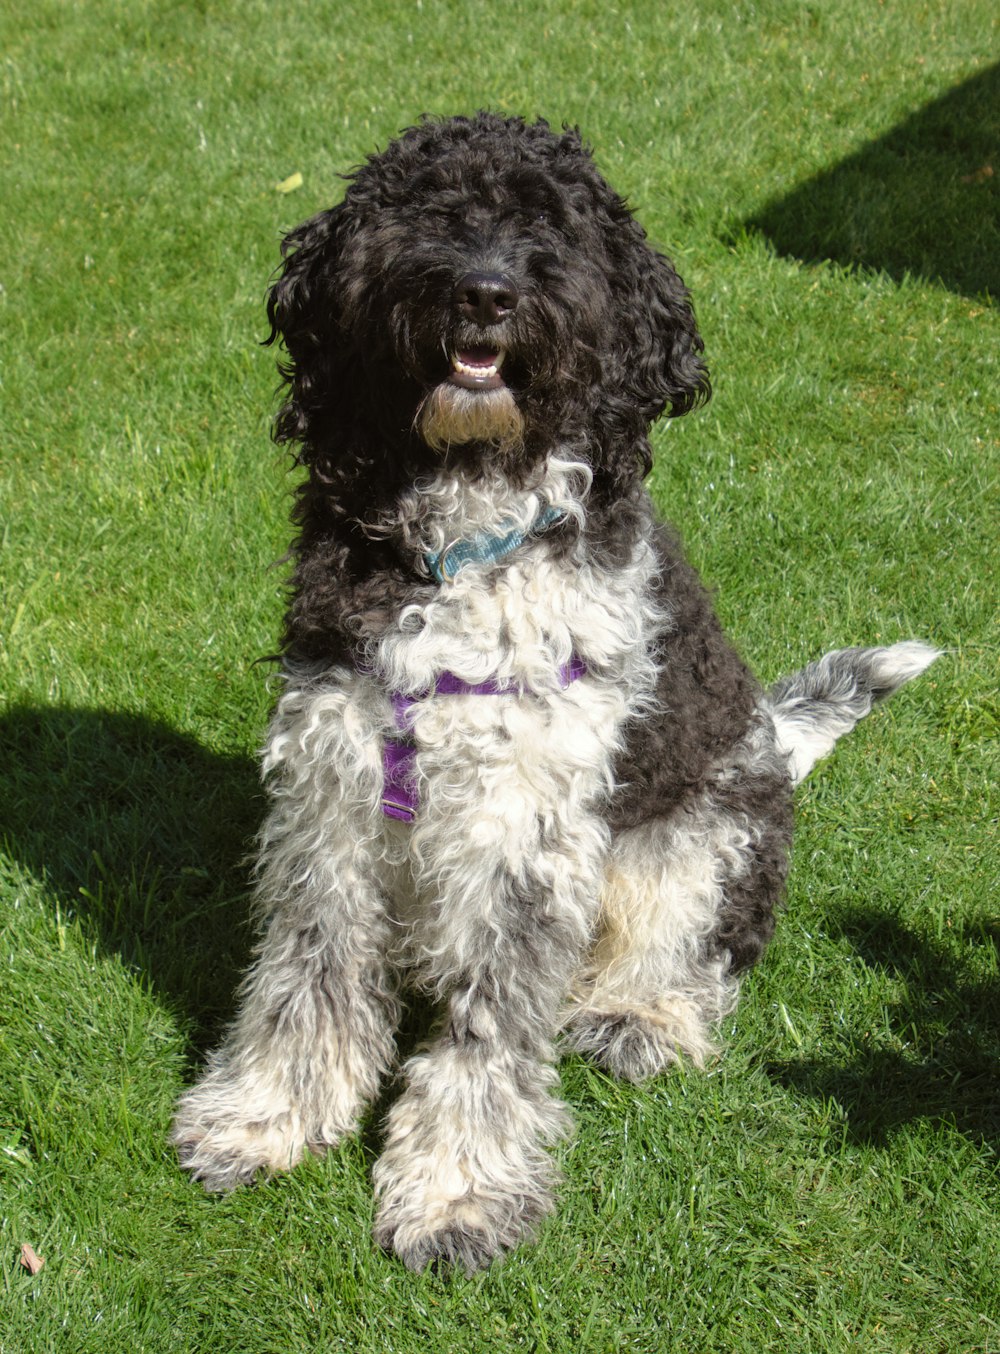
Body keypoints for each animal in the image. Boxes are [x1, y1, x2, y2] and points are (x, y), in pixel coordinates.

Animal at [174, 111, 936, 1272]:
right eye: (431, 209)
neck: (467, 536)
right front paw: (265, 1119)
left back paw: (638, 1019)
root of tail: (774, 738)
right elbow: (309, 975)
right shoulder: (330, 788)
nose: (485, 291)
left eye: (555, 228)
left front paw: (457, 1195)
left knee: (697, 957)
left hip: (707, 838)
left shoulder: (522, 822)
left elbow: (487, 1031)